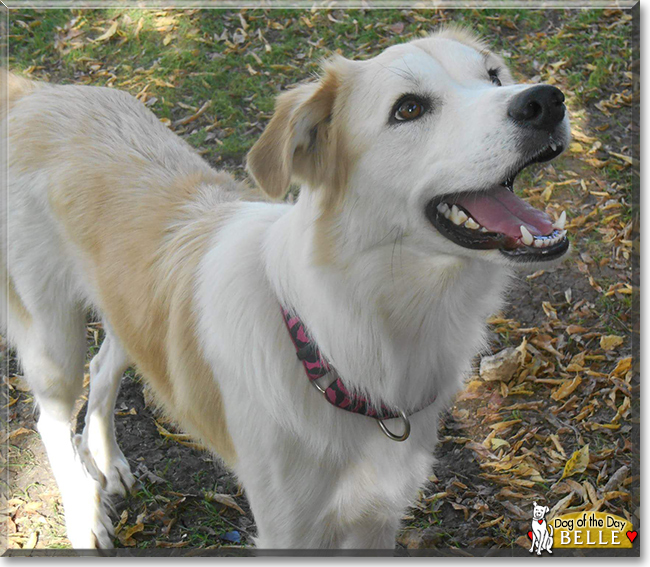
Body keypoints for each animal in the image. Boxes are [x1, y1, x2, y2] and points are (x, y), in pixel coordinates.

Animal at [0, 27, 568, 552]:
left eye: (493, 75)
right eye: (408, 108)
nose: (546, 101)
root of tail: (38, 94)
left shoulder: (378, 519)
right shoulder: (287, 530)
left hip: (125, 309)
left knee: (103, 367)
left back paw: (109, 461)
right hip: (52, 337)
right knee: (51, 421)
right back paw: (84, 516)